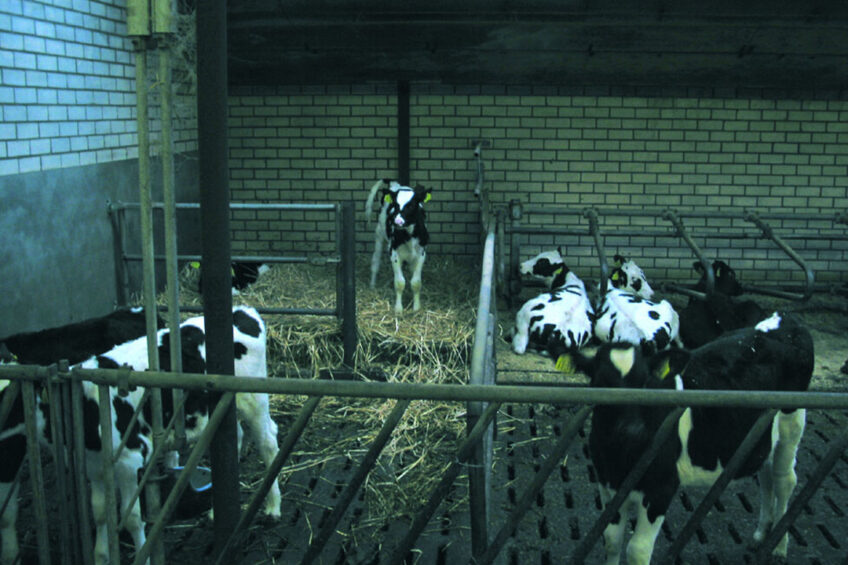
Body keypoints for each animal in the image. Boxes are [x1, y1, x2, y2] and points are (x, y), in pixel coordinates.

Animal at [1, 306, 280, 564]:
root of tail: (243, 311)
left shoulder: (129, 459)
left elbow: (132, 518)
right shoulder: (92, 464)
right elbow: (100, 512)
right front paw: (101, 555)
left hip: (253, 397)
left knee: (268, 442)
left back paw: (273, 508)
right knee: (236, 437)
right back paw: (214, 511)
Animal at [548, 310, 816, 564]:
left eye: (645, 383)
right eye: (601, 382)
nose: (632, 429)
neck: (621, 455)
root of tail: (786, 318)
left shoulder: (662, 488)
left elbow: (637, 550)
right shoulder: (607, 484)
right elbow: (611, 540)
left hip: (792, 421)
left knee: (784, 480)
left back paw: (779, 548)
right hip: (763, 435)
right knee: (766, 475)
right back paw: (760, 535)